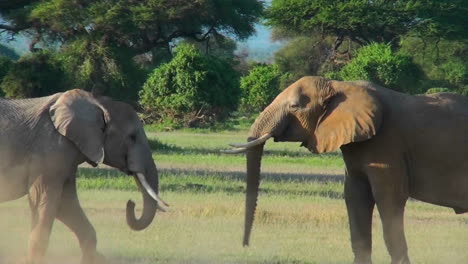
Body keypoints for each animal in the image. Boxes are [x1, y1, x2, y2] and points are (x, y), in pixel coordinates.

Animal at [0, 89, 168, 264]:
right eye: (132, 137)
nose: (131, 203)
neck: (97, 103)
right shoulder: (50, 151)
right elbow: (44, 201)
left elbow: (65, 205)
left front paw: (96, 258)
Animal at [225, 76, 466, 264]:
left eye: (294, 106)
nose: (246, 246)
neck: (339, 86)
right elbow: (355, 195)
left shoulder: (388, 146)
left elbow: (388, 198)